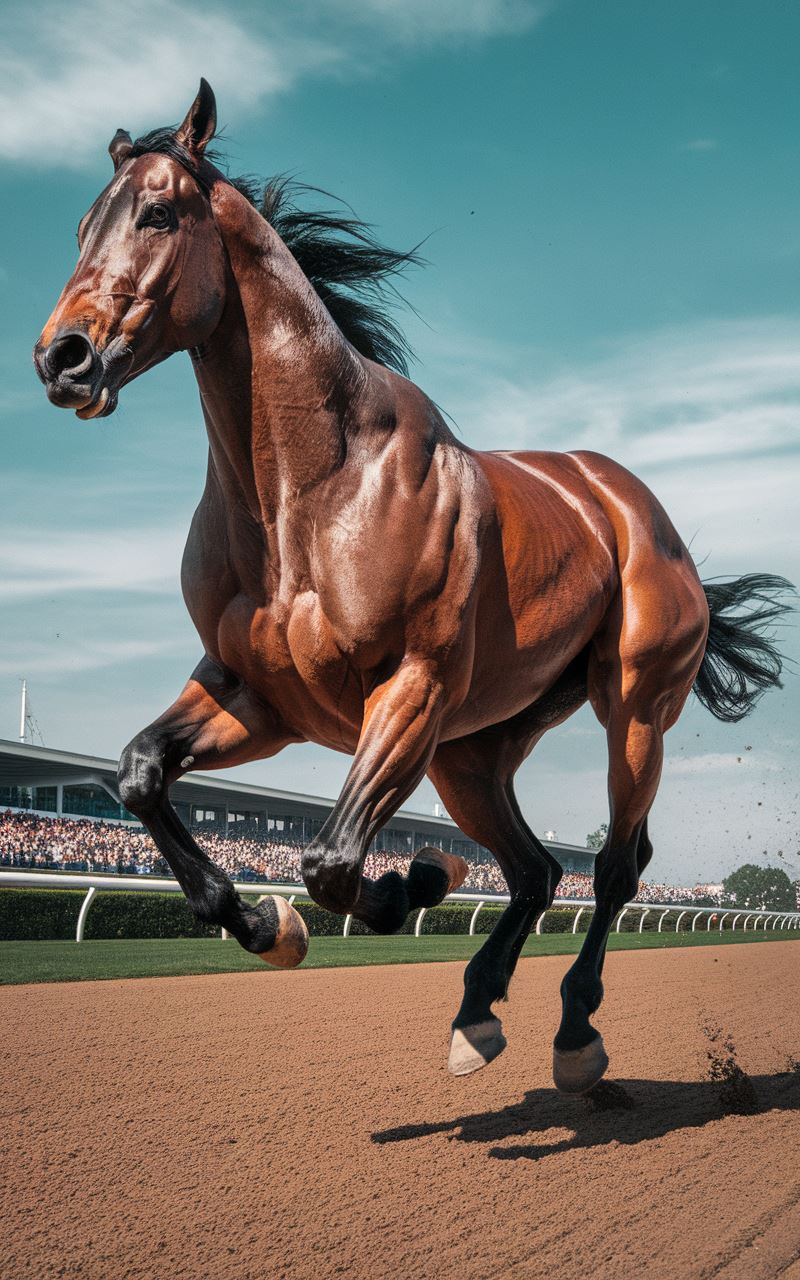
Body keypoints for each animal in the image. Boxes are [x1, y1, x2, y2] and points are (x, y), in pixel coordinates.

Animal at [34, 80, 788, 1095]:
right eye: (82, 225)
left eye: (156, 213)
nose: (61, 356)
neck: (310, 489)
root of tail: (635, 508)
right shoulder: (258, 697)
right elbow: (142, 774)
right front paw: (267, 922)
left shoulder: (412, 684)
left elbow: (332, 859)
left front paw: (418, 880)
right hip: (473, 749)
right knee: (536, 871)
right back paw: (476, 1010)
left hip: (632, 707)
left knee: (616, 865)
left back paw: (575, 1029)